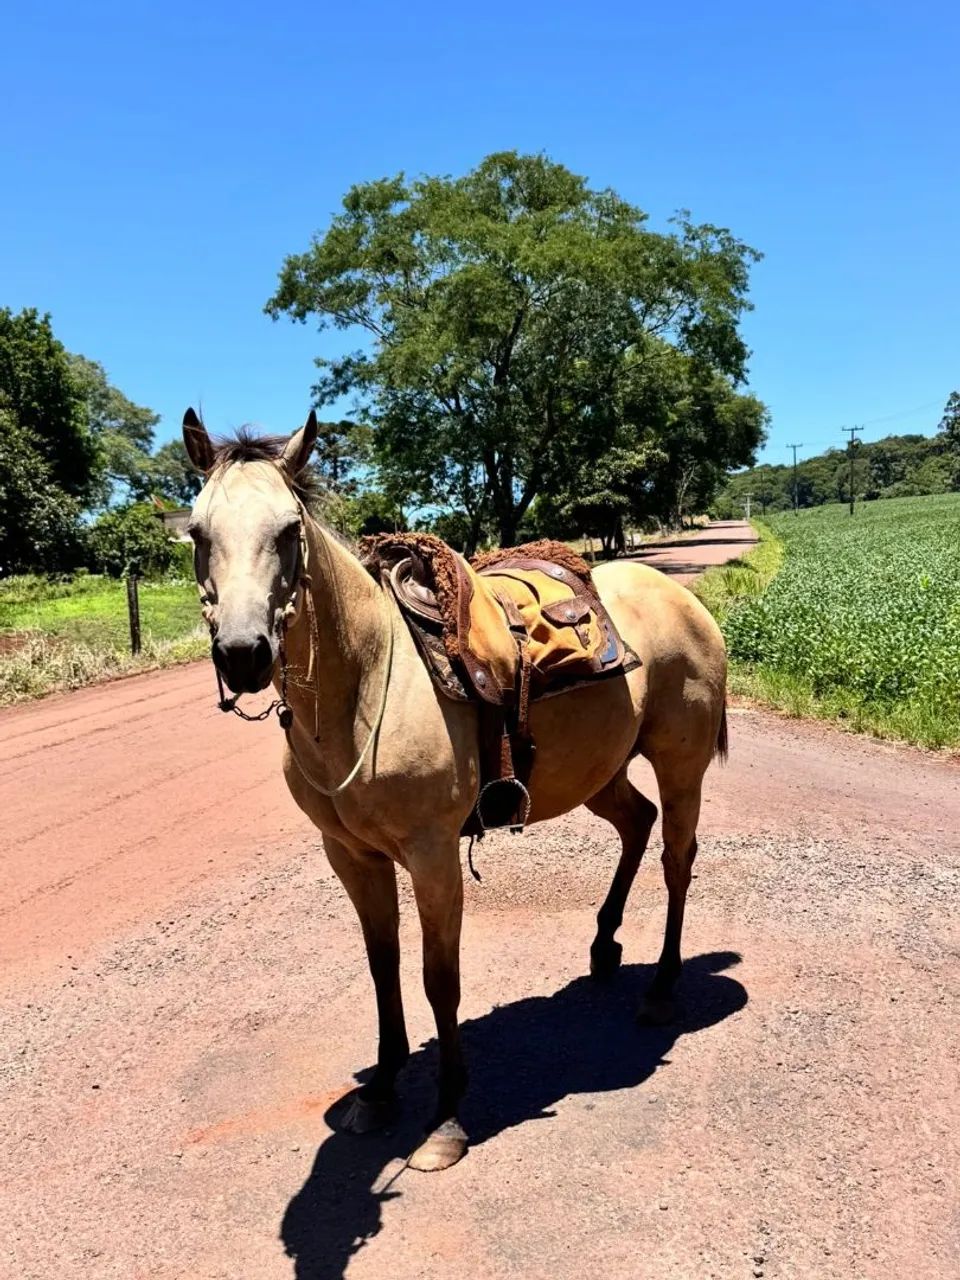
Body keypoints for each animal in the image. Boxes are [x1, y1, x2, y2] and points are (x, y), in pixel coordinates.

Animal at [182, 408, 728, 1172]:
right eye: (197, 533)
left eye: (289, 530)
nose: (242, 655)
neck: (366, 684)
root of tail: (681, 596)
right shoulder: (350, 855)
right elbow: (382, 967)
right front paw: (382, 1090)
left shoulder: (432, 853)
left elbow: (439, 977)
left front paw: (445, 1118)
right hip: (600, 771)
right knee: (636, 824)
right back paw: (603, 947)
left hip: (682, 764)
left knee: (677, 859)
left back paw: (661, 988)